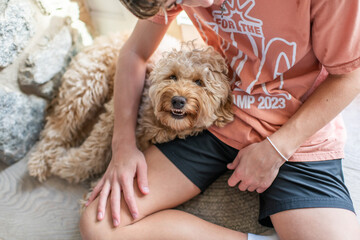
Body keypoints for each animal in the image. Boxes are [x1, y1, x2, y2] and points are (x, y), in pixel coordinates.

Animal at [27, 33, 233, 183]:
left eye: (199, 82)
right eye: (173, 76)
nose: (178, 100)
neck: (160, 123)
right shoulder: (114, 114)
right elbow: (94, 150)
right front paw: (65, 166)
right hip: (86, 88)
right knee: (55, 128)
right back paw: (39, 161)